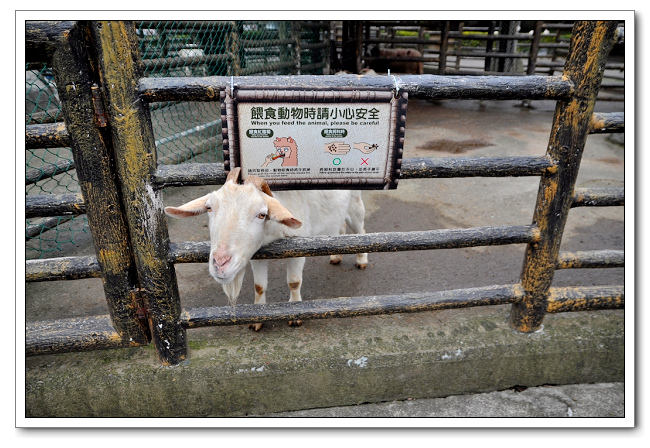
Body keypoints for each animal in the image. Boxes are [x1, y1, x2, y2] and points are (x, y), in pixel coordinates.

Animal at [165, 168, 368, 328]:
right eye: (209, 208)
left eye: (262, 214)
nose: (220, 263)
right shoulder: (256, 253)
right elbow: (259, 286)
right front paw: (257, 318)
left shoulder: (298, 247)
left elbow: (294, 282)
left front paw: (295, 314)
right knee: (340, 227)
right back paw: (336, 256)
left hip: (355, 206)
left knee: (360, 230)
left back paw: (361, 260)